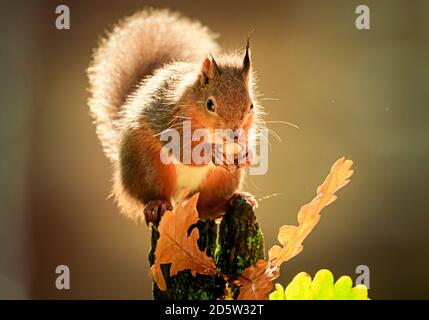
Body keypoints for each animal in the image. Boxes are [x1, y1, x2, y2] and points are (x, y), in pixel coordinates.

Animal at [86, 10, 260, 225]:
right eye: (210, 104)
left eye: (251, 106)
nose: (234, 135)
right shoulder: (170, 122)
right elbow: (185, 150)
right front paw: (213, 152)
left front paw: (248, 153)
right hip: (150, 168)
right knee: (154, 195)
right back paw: (157, 205)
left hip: (220, 180)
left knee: (203, 208)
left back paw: (228, 202)